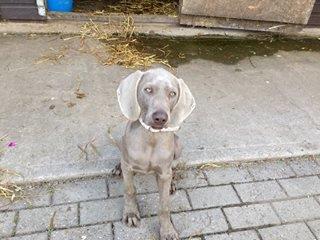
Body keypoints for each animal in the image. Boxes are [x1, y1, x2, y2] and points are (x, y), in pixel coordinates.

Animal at [115, 67, 195, 240]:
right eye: (148, 90)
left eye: (172, 93)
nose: (160, 118)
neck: (151, 137)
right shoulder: (128, 167)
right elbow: (129, 190)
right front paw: (131, 213)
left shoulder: (164, 173)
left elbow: (164, 206)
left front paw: (167, 231)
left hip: (178, 145)